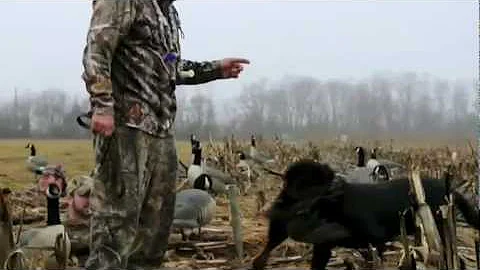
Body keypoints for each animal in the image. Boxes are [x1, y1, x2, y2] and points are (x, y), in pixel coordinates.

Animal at [253, 159, 478, 268]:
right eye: (288, 183)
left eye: (305, 184)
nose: (278, 206)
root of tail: (450, 189)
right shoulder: (323, 245)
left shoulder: (375, 239)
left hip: (438, 227)